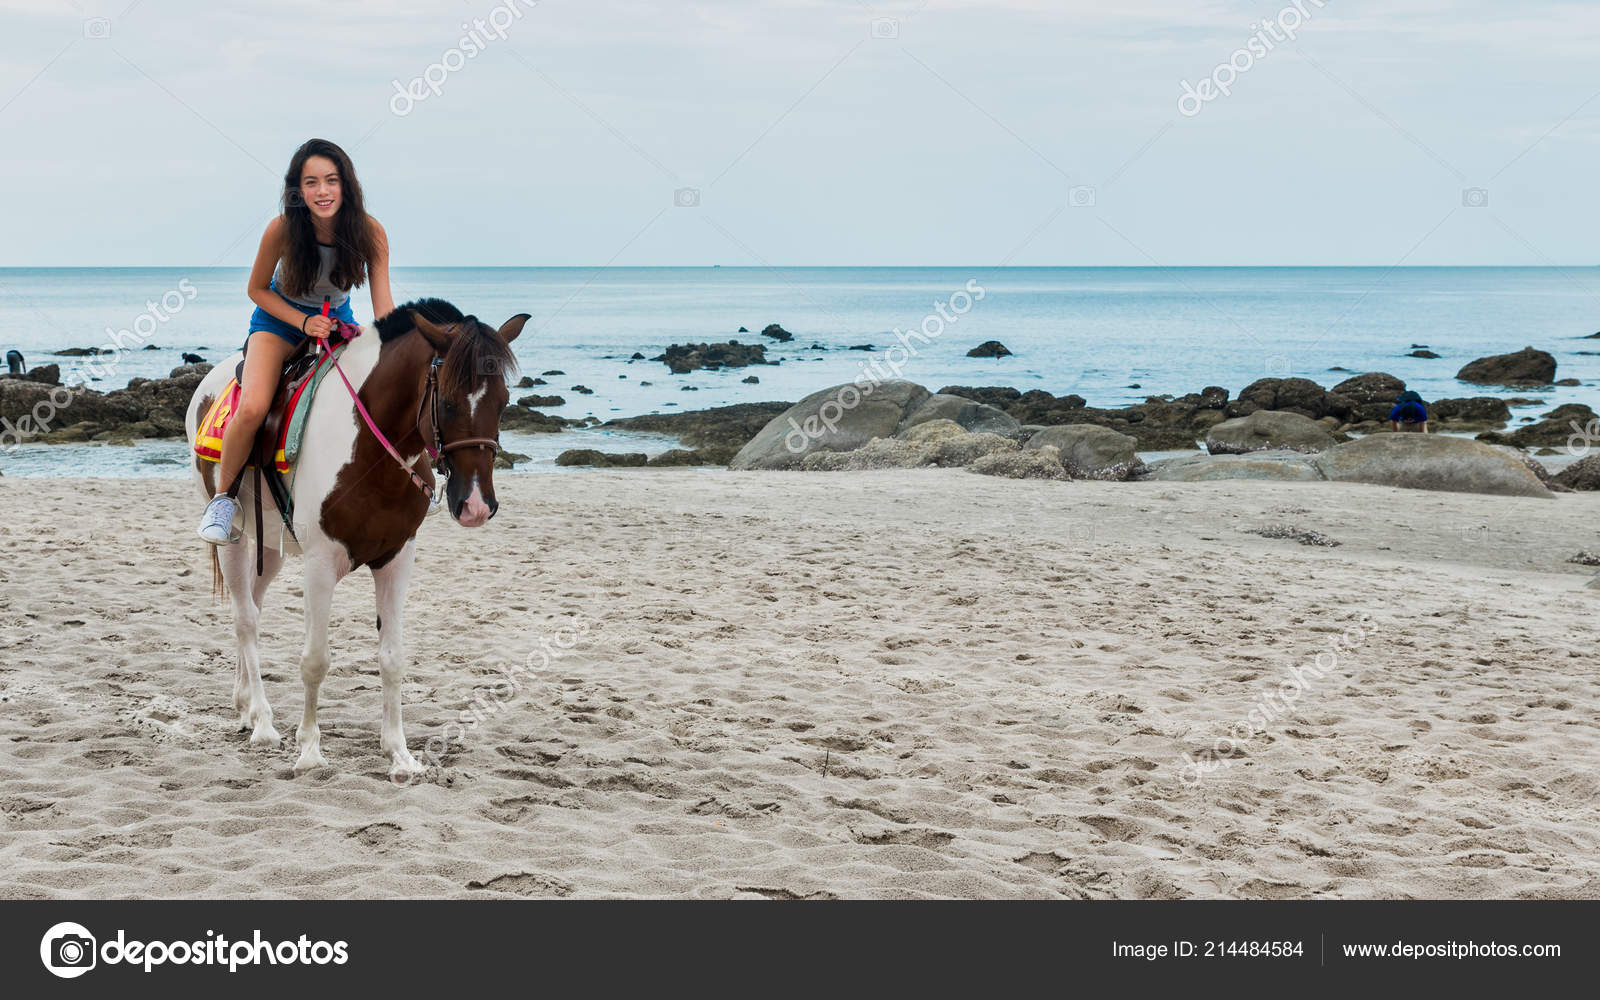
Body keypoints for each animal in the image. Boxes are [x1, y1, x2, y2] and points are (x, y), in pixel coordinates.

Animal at [184, 299, 528, 781]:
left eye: (504, 401)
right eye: (448, 401)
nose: (476, 505)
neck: (368, 451)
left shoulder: (397, 557)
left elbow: (392, 658)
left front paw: (399, 753)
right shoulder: (320, 564)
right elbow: (315, 660)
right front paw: (309, 751)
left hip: (269, 546)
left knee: (252, 602)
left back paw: (246, 706)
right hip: (233, 539)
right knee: (245, 618)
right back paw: (264, 723)